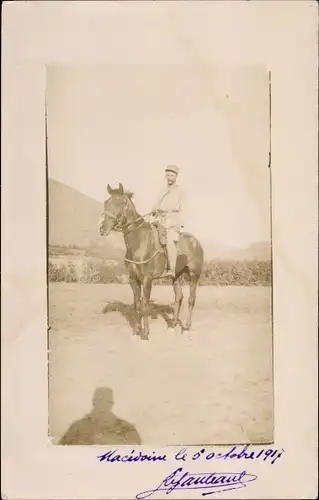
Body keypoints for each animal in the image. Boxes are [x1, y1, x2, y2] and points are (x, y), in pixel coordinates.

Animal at [98, 182, 205, 342]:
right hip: (176, 276)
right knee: (179, 297)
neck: (139, 242)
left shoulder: (147, 280)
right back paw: (173, 325)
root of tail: (196, 242)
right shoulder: (133, 279)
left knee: (191, 299)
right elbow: (137, 305)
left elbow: (145, 306)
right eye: (106, 202)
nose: (102, 228)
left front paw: (145, 334)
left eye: (119, 203)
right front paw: (136, 331)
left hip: (194, 275)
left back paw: (186, 327)